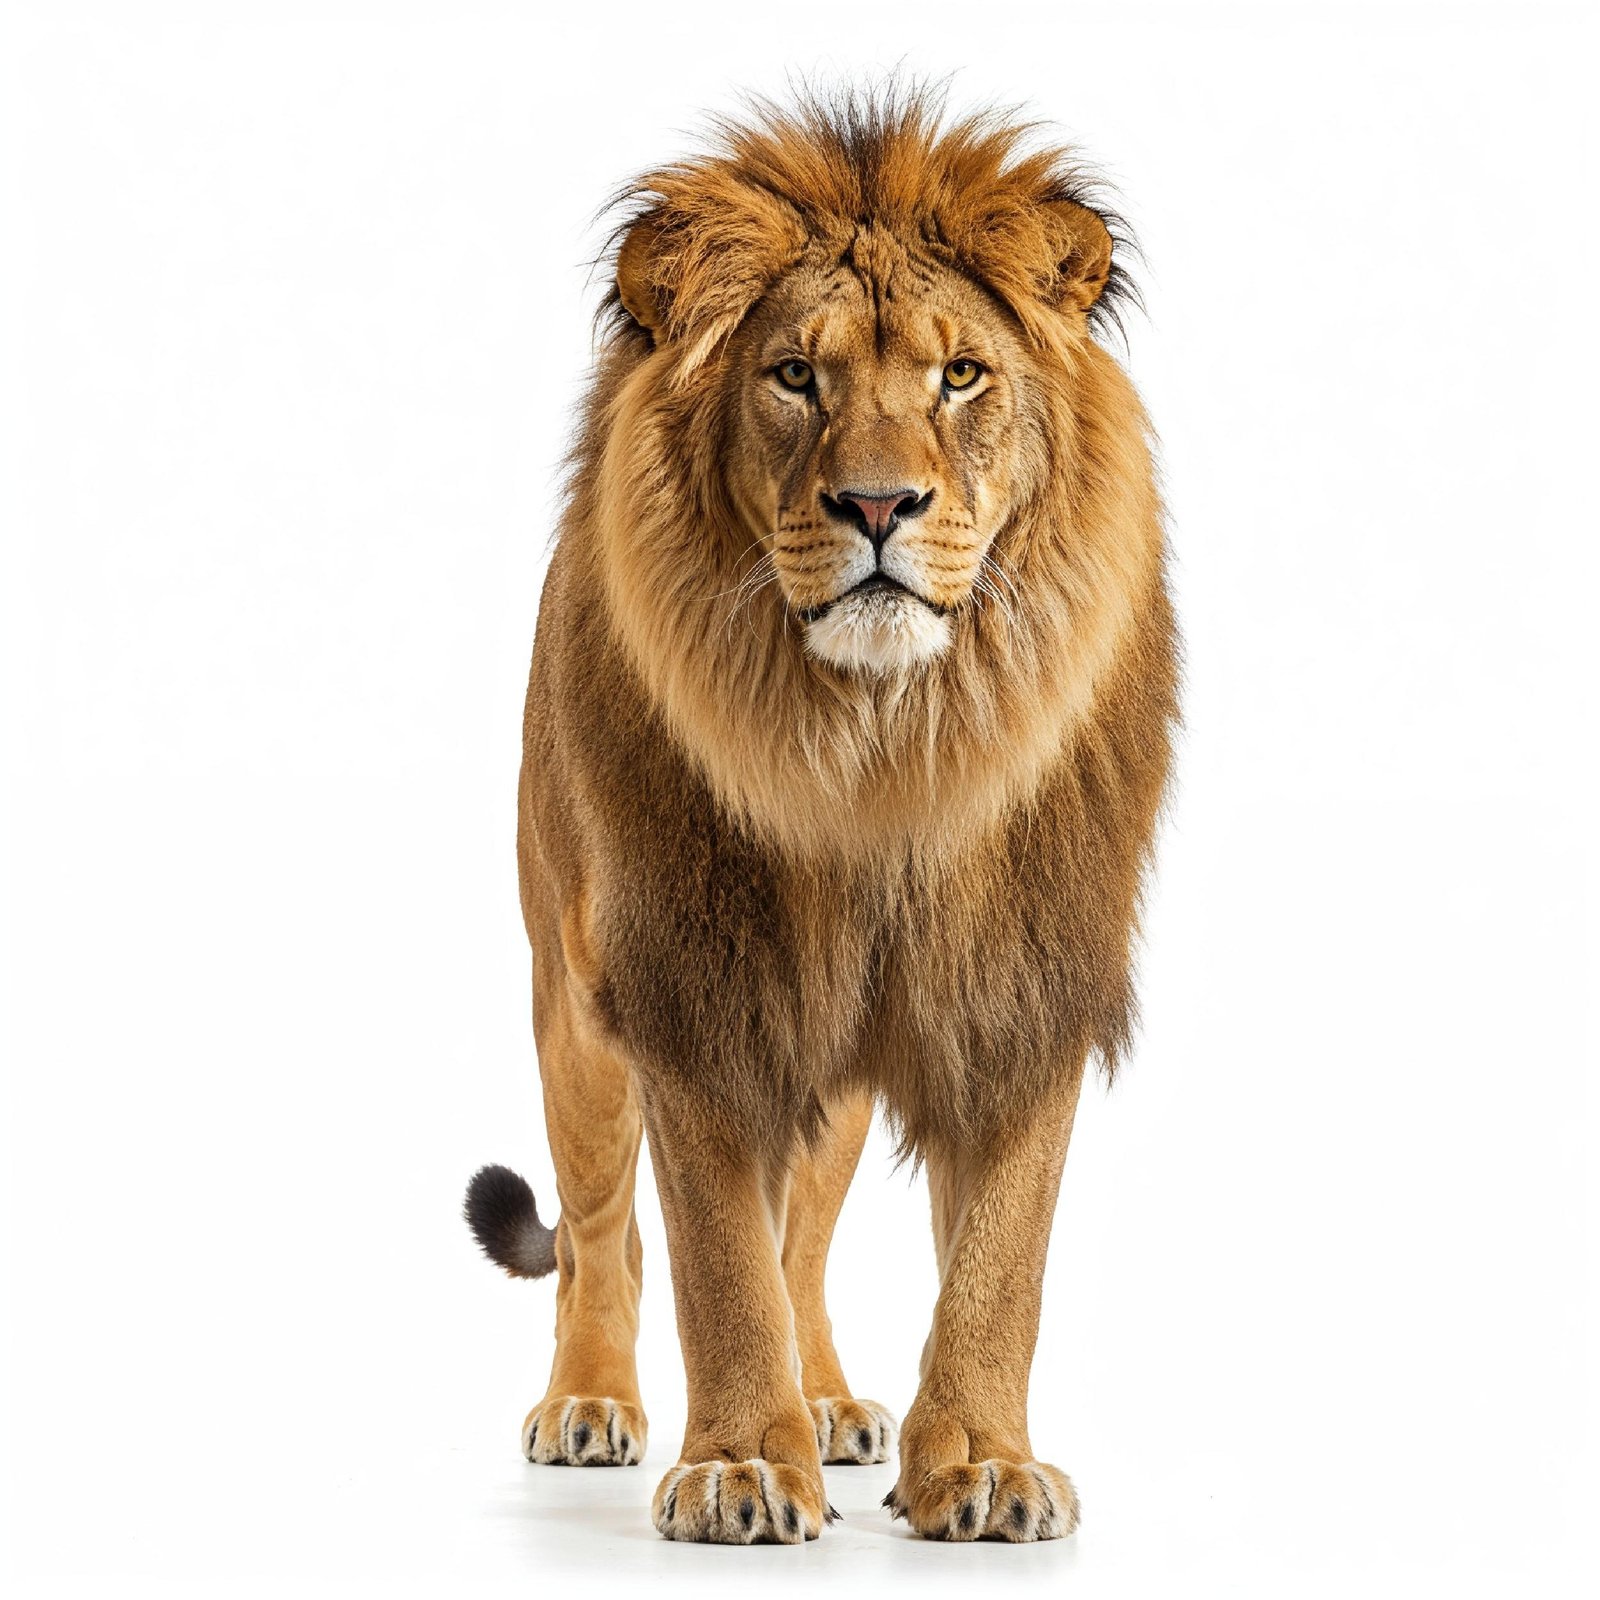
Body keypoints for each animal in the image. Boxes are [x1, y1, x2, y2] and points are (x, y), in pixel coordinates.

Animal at [464, 84, 1178, 1545]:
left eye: (960, 377)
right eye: (795, 377)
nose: (877, 504)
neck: (882, 749)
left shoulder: (1021, 978)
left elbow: (998, 1258)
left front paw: (981, 1465)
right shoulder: (693, 984)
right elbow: (714, 1257)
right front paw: (739, 1464)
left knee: (805, 1234)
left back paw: (836, 1400)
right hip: (572, 1003)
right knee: (604, 1231)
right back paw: (589, 1400)